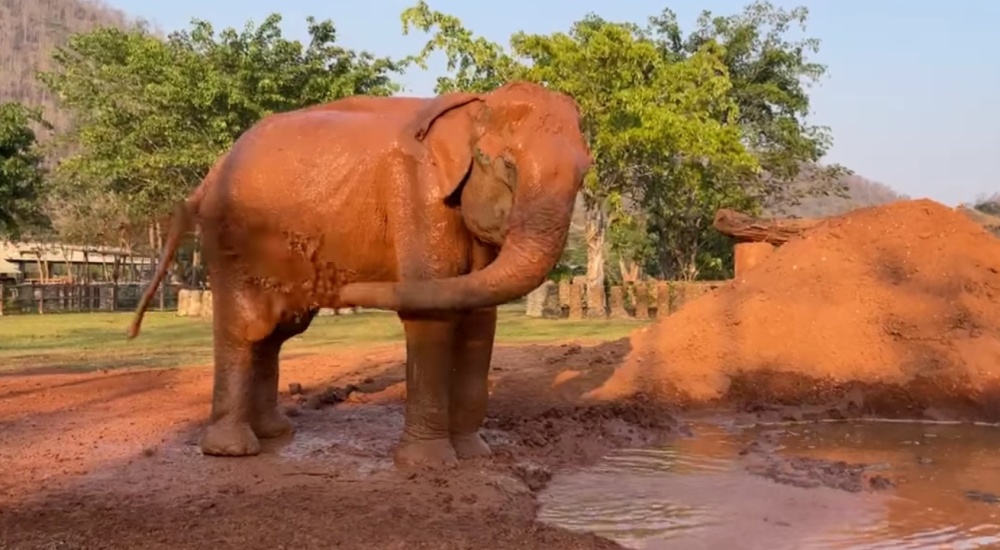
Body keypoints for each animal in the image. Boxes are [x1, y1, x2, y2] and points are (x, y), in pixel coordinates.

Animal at [127, 81, 592, 470]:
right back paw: (233, 450)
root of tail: (208, 177)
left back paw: (275, 433)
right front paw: (430, 466)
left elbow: (480, 317)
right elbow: (432, 313)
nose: (338, 284)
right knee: (247, 327)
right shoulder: (417, 194)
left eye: (584, 173)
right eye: (507, 166)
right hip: (230, 240)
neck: (476, 105)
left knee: (277, 331)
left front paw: (475, 456)